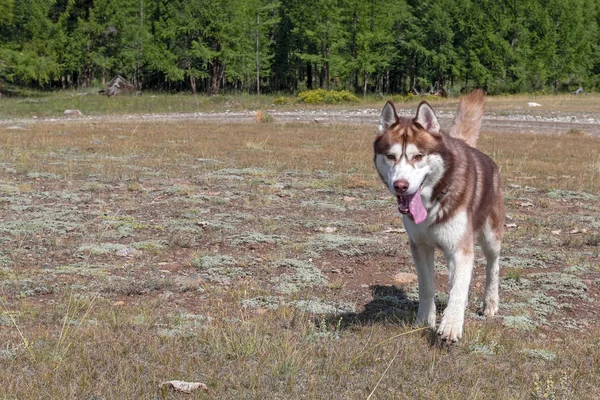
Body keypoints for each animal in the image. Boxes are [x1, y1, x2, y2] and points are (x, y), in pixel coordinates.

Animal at [372, 90, 504, 340]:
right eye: (391, 156)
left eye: (418, 156)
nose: (400, 185)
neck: (432, 201)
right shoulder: (420, 246)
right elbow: (427, 286)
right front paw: (425, 320)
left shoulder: (461, 249)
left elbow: (458, 289)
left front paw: (451, 325)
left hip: (490, 237)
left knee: (492, 266)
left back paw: (490, 302)